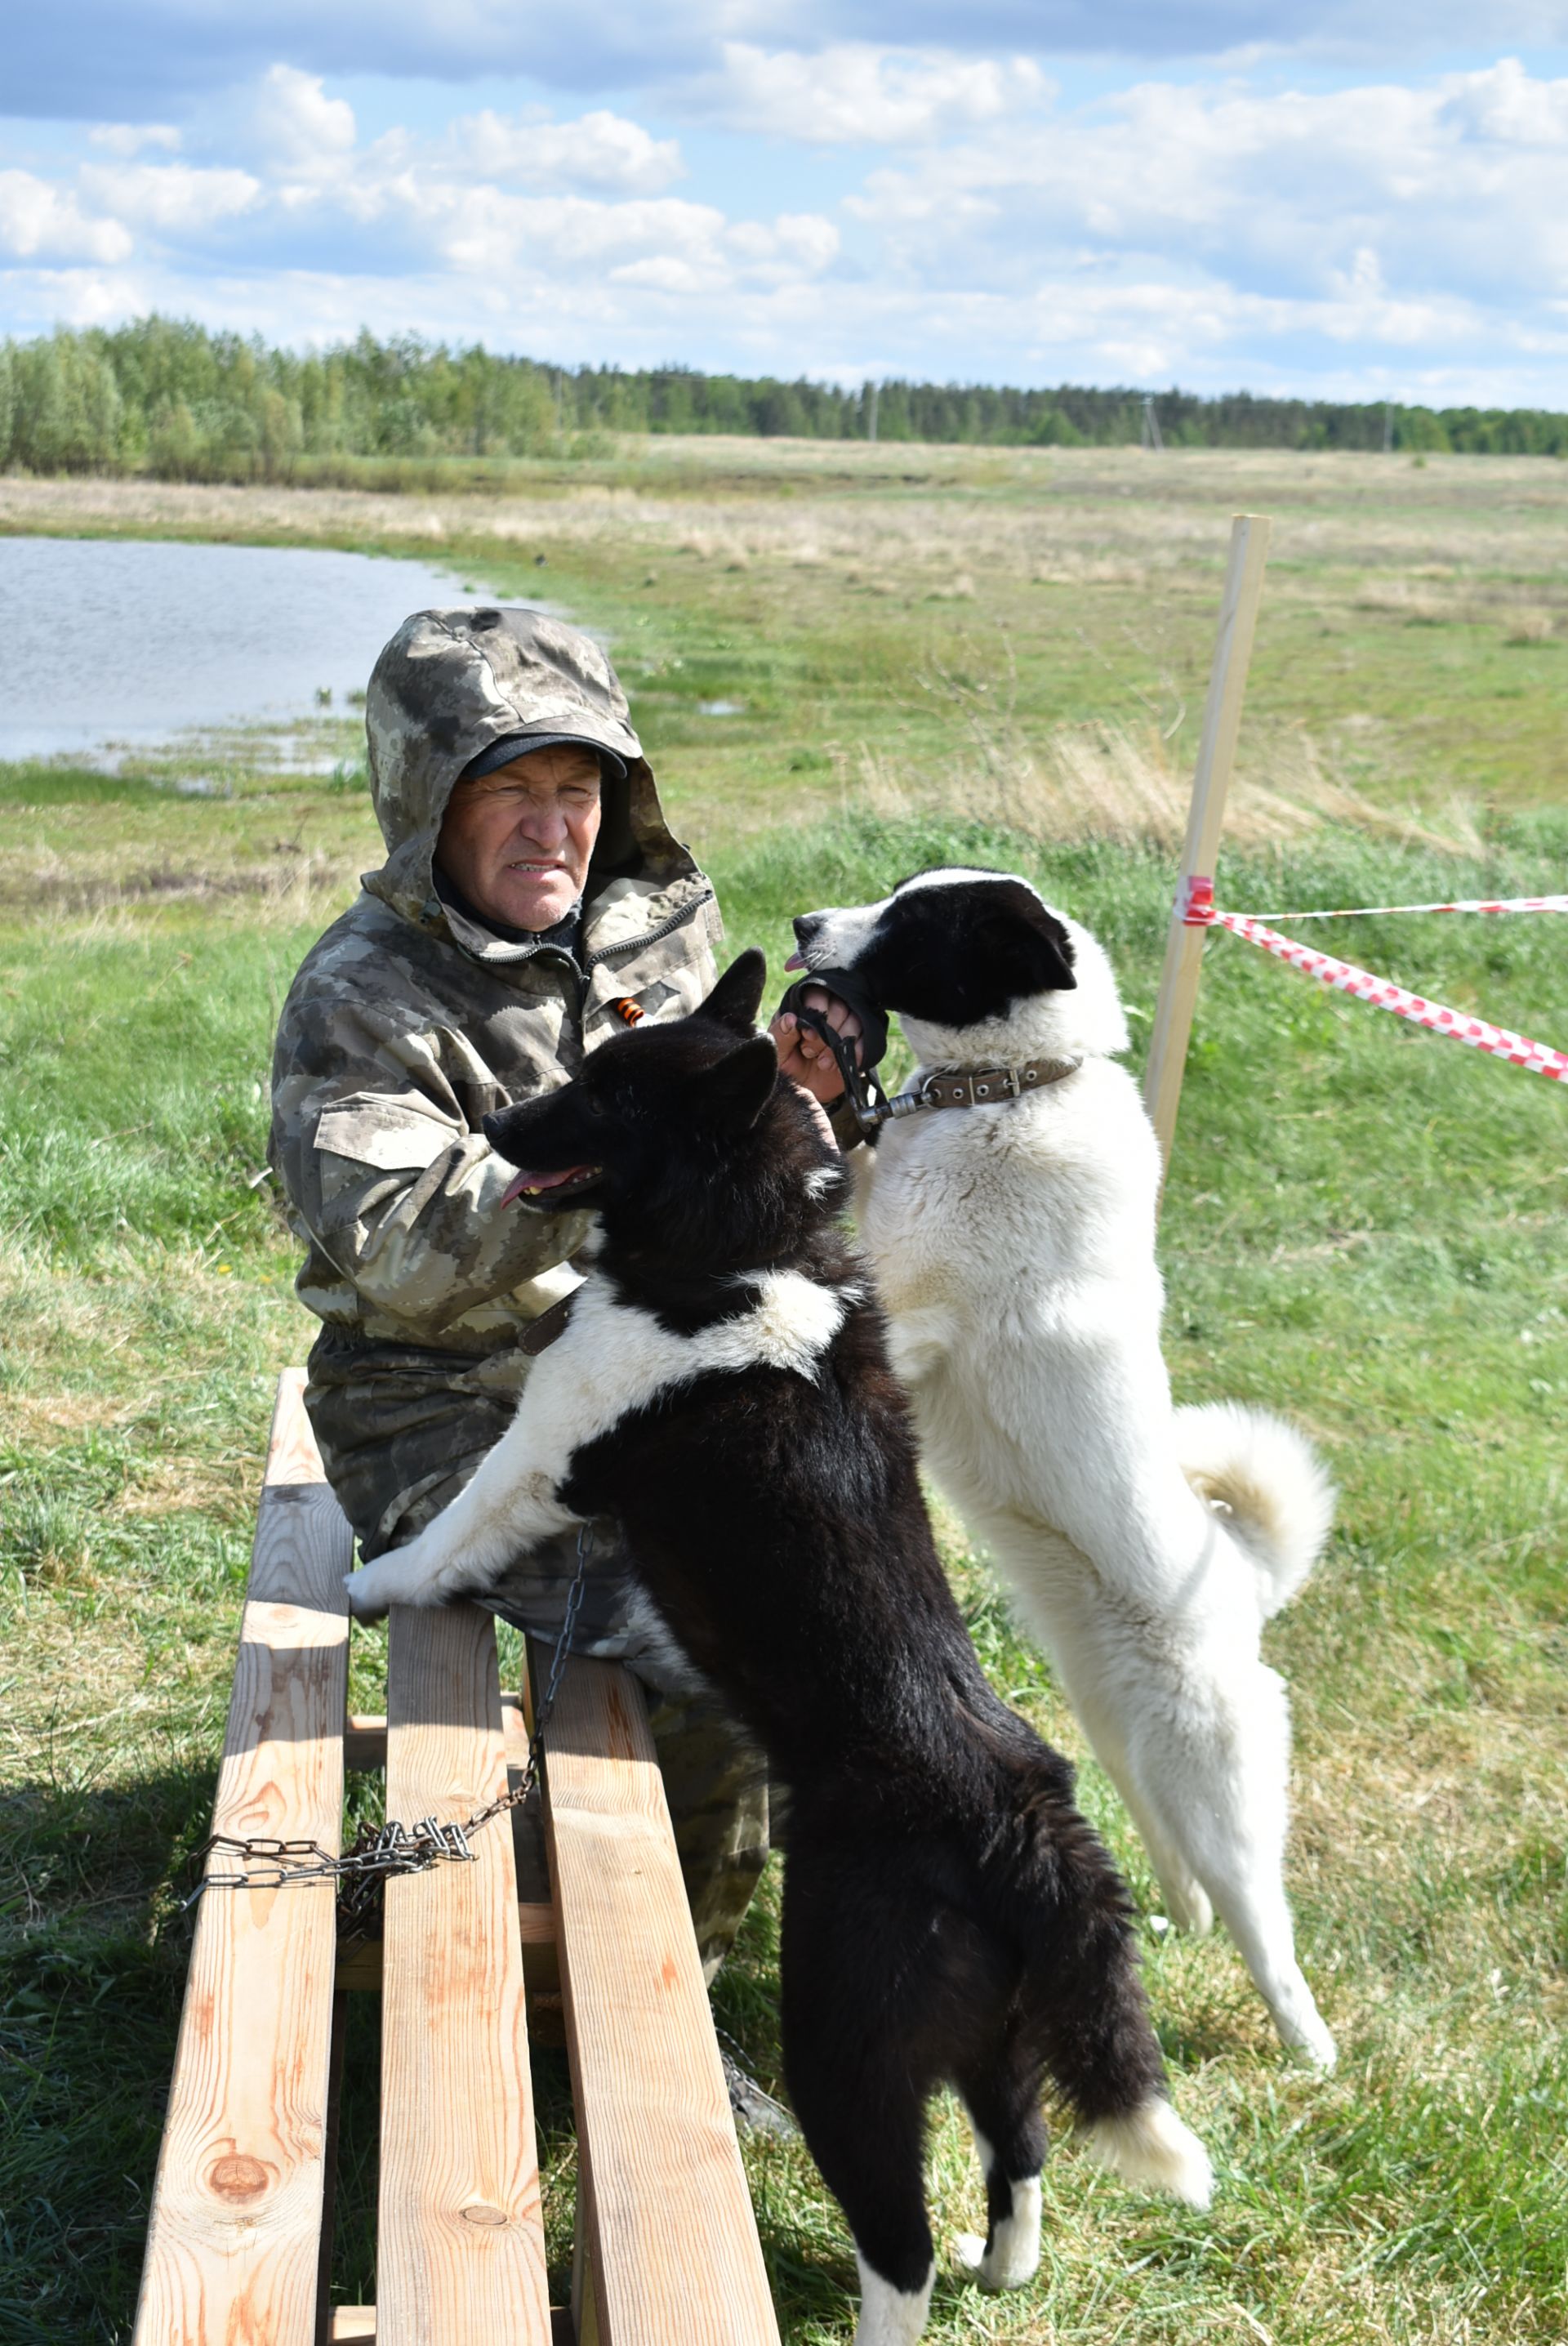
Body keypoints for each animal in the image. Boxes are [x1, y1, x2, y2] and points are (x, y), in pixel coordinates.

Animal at [349, 952, 1209, 2346]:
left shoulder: (544, 1450)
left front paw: (371, 1584)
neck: (745, 1253)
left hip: (846, 2048)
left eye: (604, 1095)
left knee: (899, 2246)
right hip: (994, 2035)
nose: (497, 1129)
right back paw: (1003, 2266)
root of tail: (1023, 1821)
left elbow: (449, 1535)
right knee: (1019, 2148)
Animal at [787, 877, 1340, 2073]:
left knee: (1266, 1924)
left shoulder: (907, 1316)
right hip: (1125, 1740)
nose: (804, 926)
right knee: (1186, 1872)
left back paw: (1310, 2047)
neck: (1007, 1089)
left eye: (912, 923)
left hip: (1219, 1785)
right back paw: (1174, 1921)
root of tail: (1242, 1584)